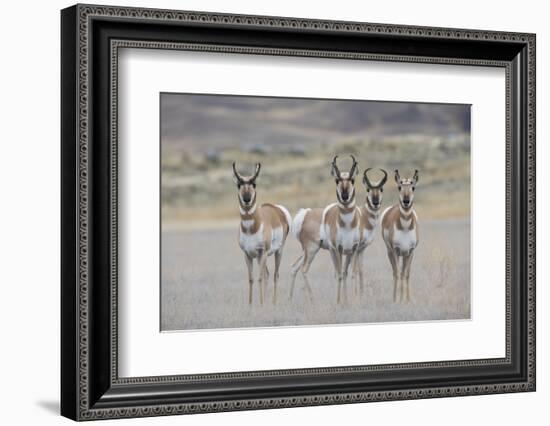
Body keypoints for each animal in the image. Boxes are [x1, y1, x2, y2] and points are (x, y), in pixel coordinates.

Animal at [233, 161, 294, 304]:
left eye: (254, 184)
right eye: (239, 184)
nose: (247, 199)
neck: (252, 227)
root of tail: (277, 209)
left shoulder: (262, 252)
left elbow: (259, 278)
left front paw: (261, 304)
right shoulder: (248, 254)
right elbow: (251, 279)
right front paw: (251, 304)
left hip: (277, 252)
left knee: (275, 275)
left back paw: (273, 302)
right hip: (262, 257)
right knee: (267, 274)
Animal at [382, 170, 420, 302]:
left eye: (413, 187)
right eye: (399, 187)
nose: (406, 201)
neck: (405, 227)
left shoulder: (411, 252)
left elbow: (406, 275)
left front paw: (406, 300)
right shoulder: (395, 251)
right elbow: (398, 274)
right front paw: (397, 300)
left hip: (404, 255)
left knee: (403, 273)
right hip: (390, 252)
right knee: (395, 273)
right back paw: (395, 298)